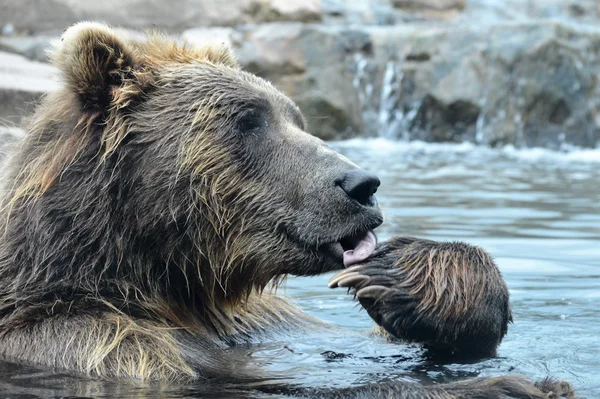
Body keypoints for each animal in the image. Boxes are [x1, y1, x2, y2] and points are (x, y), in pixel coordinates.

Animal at [0, 22, 576, 399]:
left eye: (294, 117)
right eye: (247, 120)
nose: (361, 185)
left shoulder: (269, 325)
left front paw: (397, 272)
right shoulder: (95, 343)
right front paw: (512, 385)